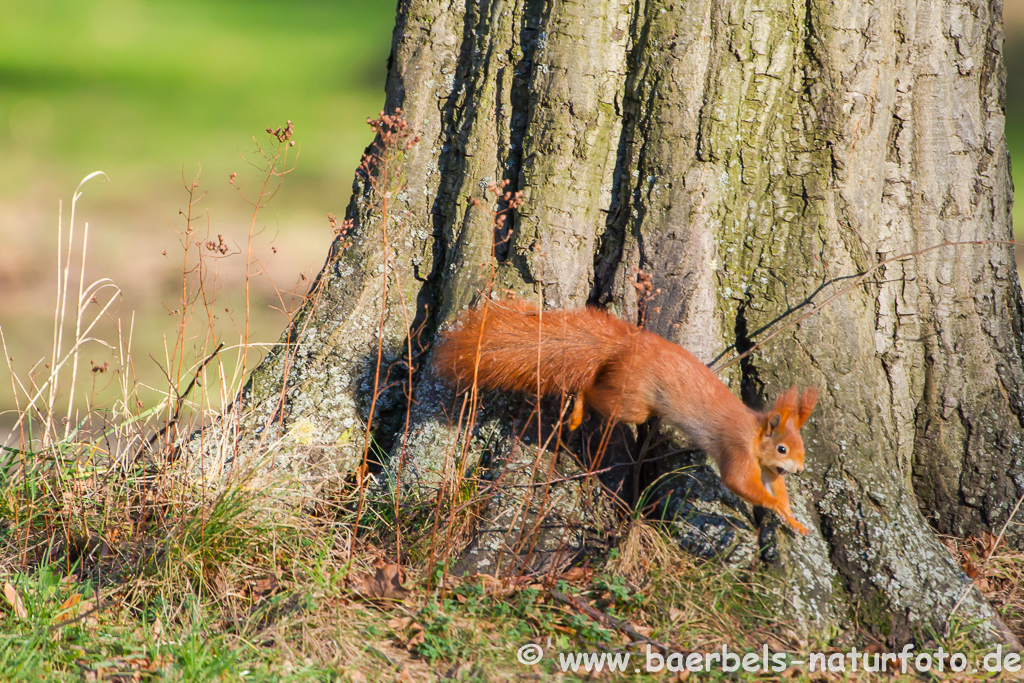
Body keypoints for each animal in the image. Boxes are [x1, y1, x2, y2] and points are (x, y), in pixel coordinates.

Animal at [436, 303, 819, 532]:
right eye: (783, 448)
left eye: (800, 447)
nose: (801, 470)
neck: (755, 434)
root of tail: (625, 347)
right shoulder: (736, 449)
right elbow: (739, 482)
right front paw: (773, 505)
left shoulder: (768, 470)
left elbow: (775, 489)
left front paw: (792, 520)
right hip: (632, 401)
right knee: (593, 391)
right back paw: (577, 409)